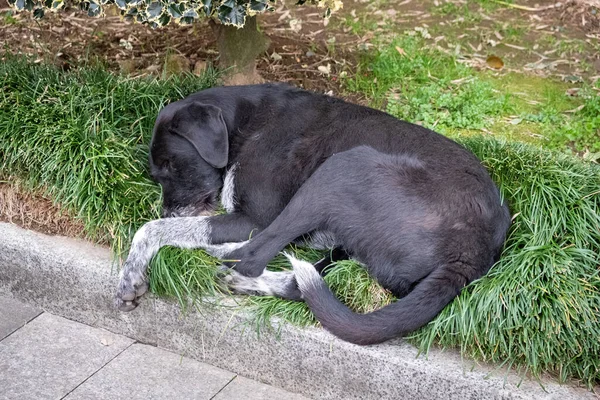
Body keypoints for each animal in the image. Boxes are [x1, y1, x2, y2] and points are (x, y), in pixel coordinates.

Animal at [113, 83, 510, 346]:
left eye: (171, 165)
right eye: (156, 173)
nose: (170, 207)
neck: (244, 124)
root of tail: (470, 255)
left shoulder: (255, 217)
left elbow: (151, 228)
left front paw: (130, 276)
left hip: (344, 166)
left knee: (252, 257)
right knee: (295, 280)